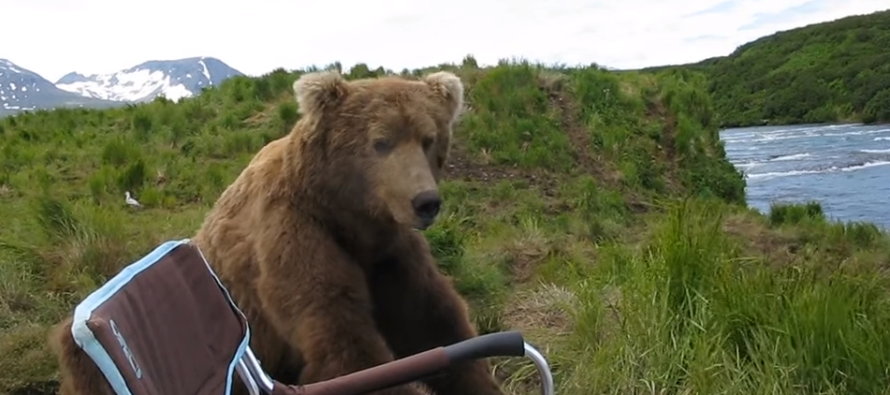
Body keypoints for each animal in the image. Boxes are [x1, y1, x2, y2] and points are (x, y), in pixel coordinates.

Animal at [50, 71, 506, 395]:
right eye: (381, 142)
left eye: (429, 139)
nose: (425, 202)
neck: (346, 215)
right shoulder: (293, 235)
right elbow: (344, 343)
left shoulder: (389, 253)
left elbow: (433, 320)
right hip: (87, 362)